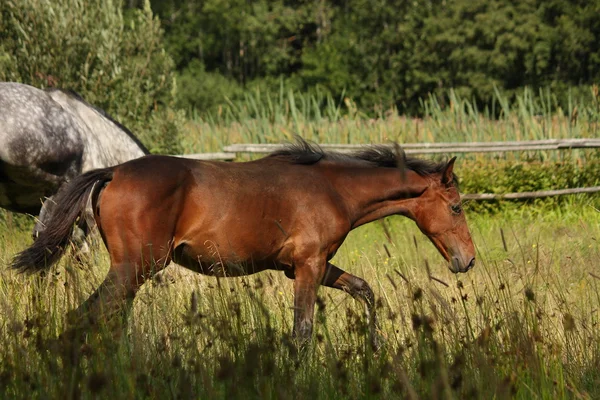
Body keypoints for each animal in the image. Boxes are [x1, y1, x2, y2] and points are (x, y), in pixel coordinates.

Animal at [11, 139, 476, 346]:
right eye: (456, 207)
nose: (467, 261)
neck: (333, 189)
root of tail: (113, 172)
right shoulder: (308, 266)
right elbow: (301, 332)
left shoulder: (307, 265)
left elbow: (365, 290)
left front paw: (375, 346)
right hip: (134, 268)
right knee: (85, 317)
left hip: (132, 272)